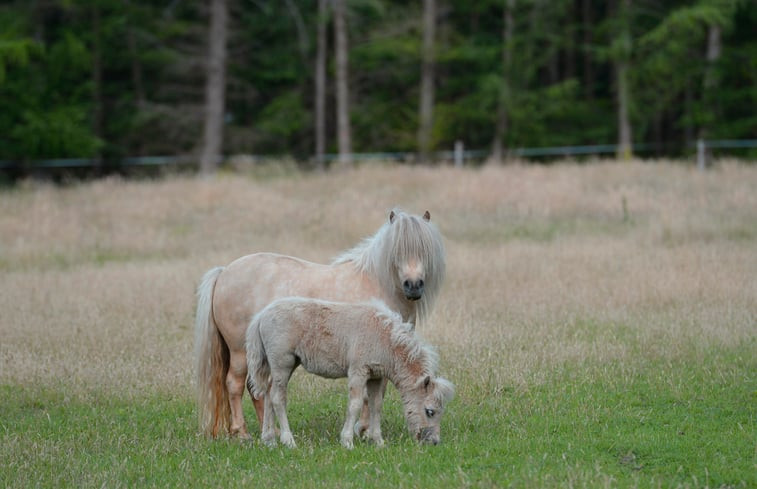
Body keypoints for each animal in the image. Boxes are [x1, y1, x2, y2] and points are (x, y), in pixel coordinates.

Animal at [193, 208, 448, 436]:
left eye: (425, 251)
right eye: (397, 251)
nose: (413, 286)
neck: (377, 283)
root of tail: (224, 272)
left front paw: (365, 430)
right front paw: (363, 430)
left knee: (257, 388)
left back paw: (271, 430)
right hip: (239, 351)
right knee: (235, 385)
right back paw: (242, 433)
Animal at [247, 296, 454, 448]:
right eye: (430, 411)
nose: (434, 442)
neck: (383, 337)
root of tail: (261, 315)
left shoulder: (376, 376)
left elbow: (376, 405)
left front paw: (378, 441)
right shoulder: (358, 371)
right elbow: (355, 404)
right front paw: (347, 441)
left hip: (286, 365)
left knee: (268, 394)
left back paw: (269, 439)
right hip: (282, 362)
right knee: (277, 398)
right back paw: (288, 440)